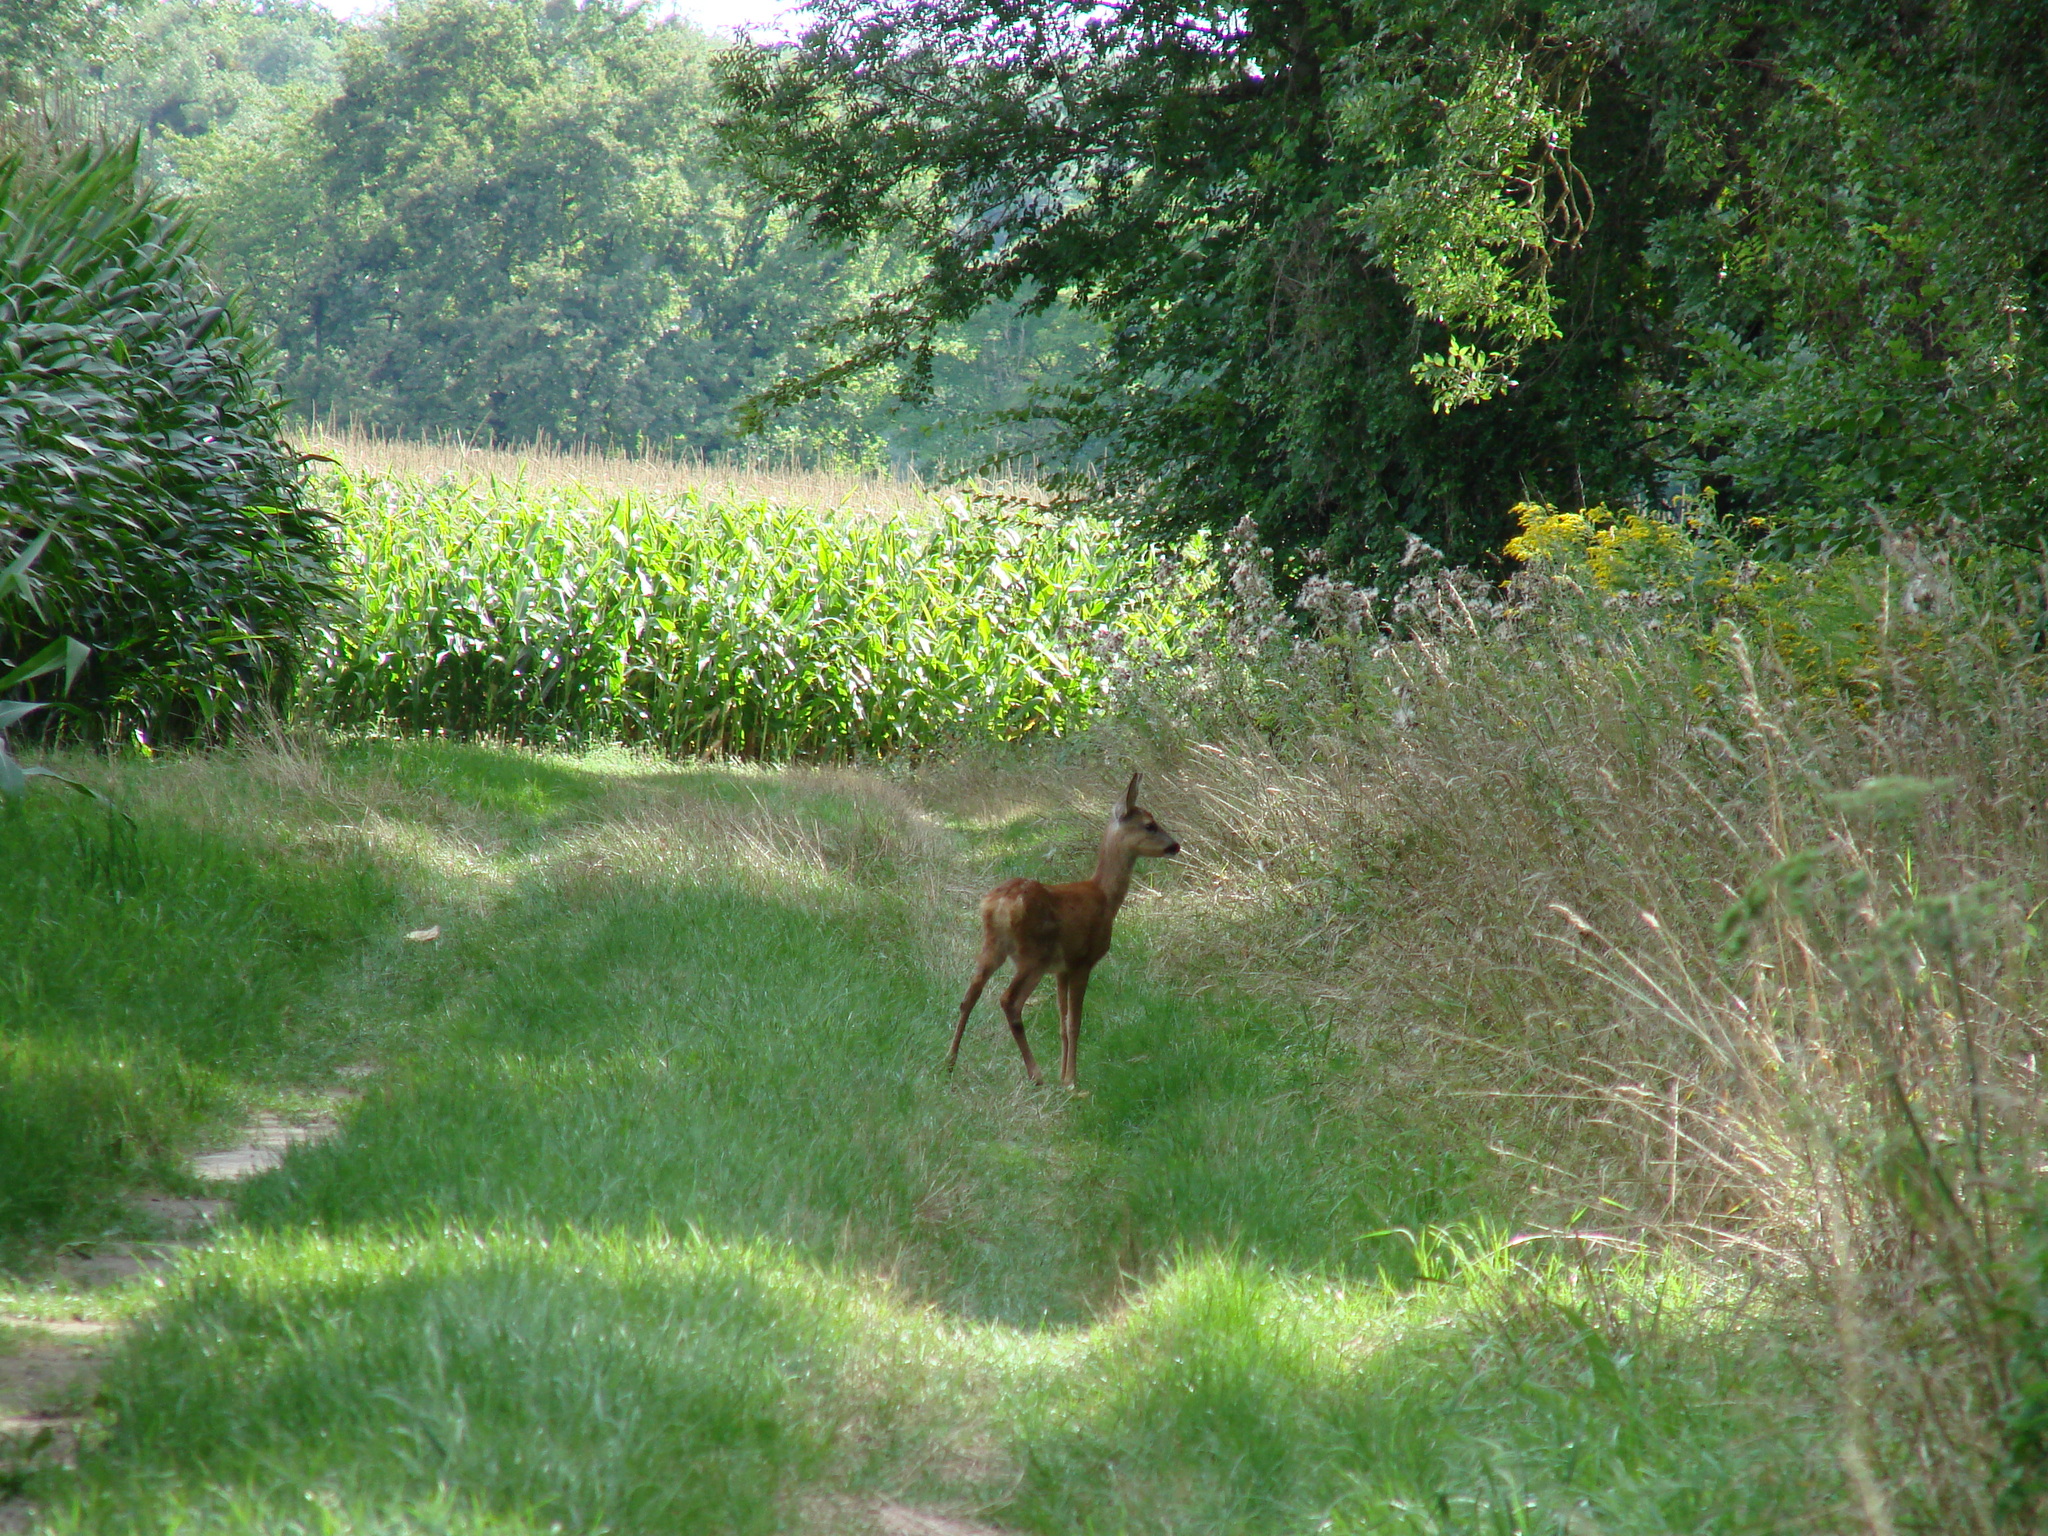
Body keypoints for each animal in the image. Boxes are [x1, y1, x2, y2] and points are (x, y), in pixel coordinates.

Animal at [947, 772, 1180, 1088]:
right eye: (1149, 824)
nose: (1175, 845)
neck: (1105, 897)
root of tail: (999, 905)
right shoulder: (1083, 959)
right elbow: (1074, 1022)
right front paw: (1071, 1080)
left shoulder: (1061, 968)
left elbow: (1061, 1021)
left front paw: (1063, 1074)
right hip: (1033, 954)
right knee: (1010, 1001)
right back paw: (1035, 1074)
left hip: (992, 946)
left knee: (968, 997)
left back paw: (949, 1063)